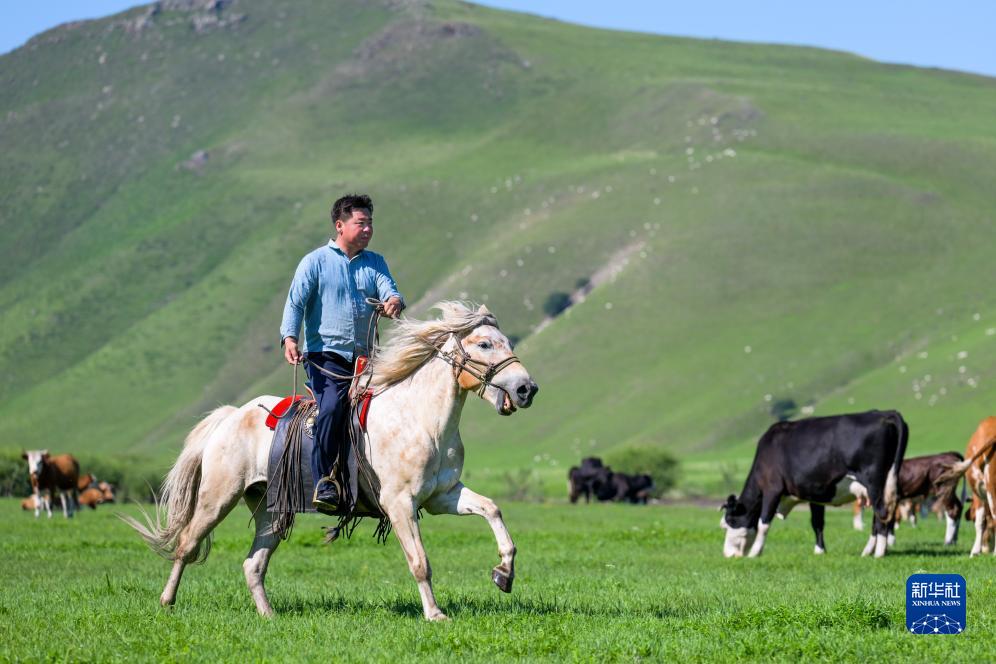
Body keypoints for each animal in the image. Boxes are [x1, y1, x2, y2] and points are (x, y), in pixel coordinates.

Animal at [130, 304, 544, 620]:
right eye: (485, 343)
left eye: (507, 342)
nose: (527, 389)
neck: (420, 419)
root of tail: (232, 415)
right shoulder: (400, 504)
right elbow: (420, 561)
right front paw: (435, 614)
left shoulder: (443, 496)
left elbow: (492, 509)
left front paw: (504, 573)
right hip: (218, 497)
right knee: (187, 544)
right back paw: (167, 602)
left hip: (269, 509)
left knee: (253, 564)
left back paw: (269, 616)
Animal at [720, 410, 908, 560]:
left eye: (730, 521)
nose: (727, 554)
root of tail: (884, 414)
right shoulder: (815, 493)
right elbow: (817, 522)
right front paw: (819, 551)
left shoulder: (772, 489)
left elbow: (763, 523)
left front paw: (755, 553)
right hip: (885, 485)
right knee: (880, 516)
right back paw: (869, 550)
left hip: (874, 482)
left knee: (881, 514)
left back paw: (879, 553)